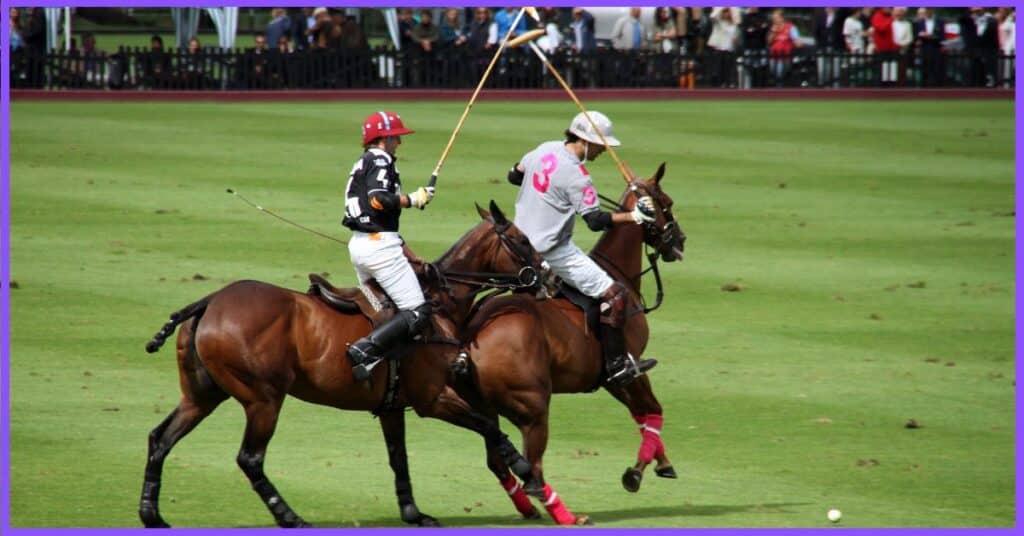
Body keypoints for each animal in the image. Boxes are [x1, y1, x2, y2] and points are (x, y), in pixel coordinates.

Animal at [140, 203, 548, 528]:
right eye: (522, 240)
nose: (548, 278)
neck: (438, 306)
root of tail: (208, 301)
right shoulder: (431, 399)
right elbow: (489, 427)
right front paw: (528, 474)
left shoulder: (392, 406)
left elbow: (399, 459)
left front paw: (414, 513)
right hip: (262, 399)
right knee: (250, 458)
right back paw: (290, 517)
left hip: (203, 394)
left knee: (161, 439)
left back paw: (152, 515)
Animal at [456, 166, 688, 524]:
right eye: (667, 202)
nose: (680, 242)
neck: (617, 272)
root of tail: (471, 337)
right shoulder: (629, 367)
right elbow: (652, 409)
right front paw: (636, 473)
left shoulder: (608, 378)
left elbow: (642, 413)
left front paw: (661, 462)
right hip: (533, 408)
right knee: (533, 470)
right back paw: (567, 516)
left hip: (485, 409)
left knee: (498, 462)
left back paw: (529, 510)